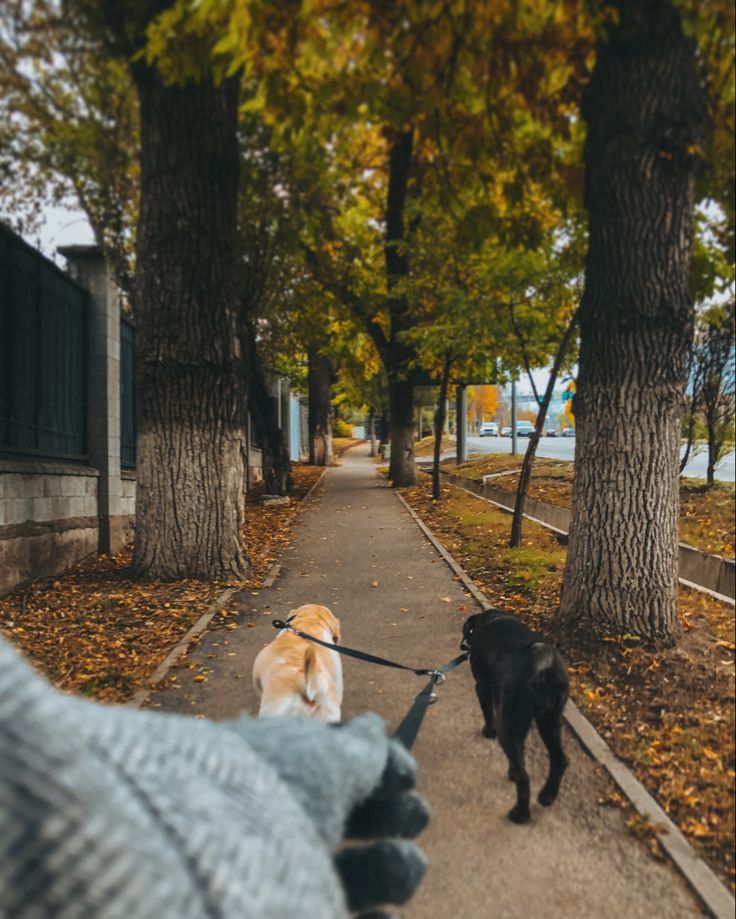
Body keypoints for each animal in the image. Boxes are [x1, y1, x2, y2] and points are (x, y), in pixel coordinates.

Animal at [462, 612, 572, 828]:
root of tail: (545, 667)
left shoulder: (483, 688)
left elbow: (488, 714)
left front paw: (488, 732)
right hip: (549, 722)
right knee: (560, 759)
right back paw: (547, 796)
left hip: (511, 727)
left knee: (524, 778)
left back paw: (520, 815)